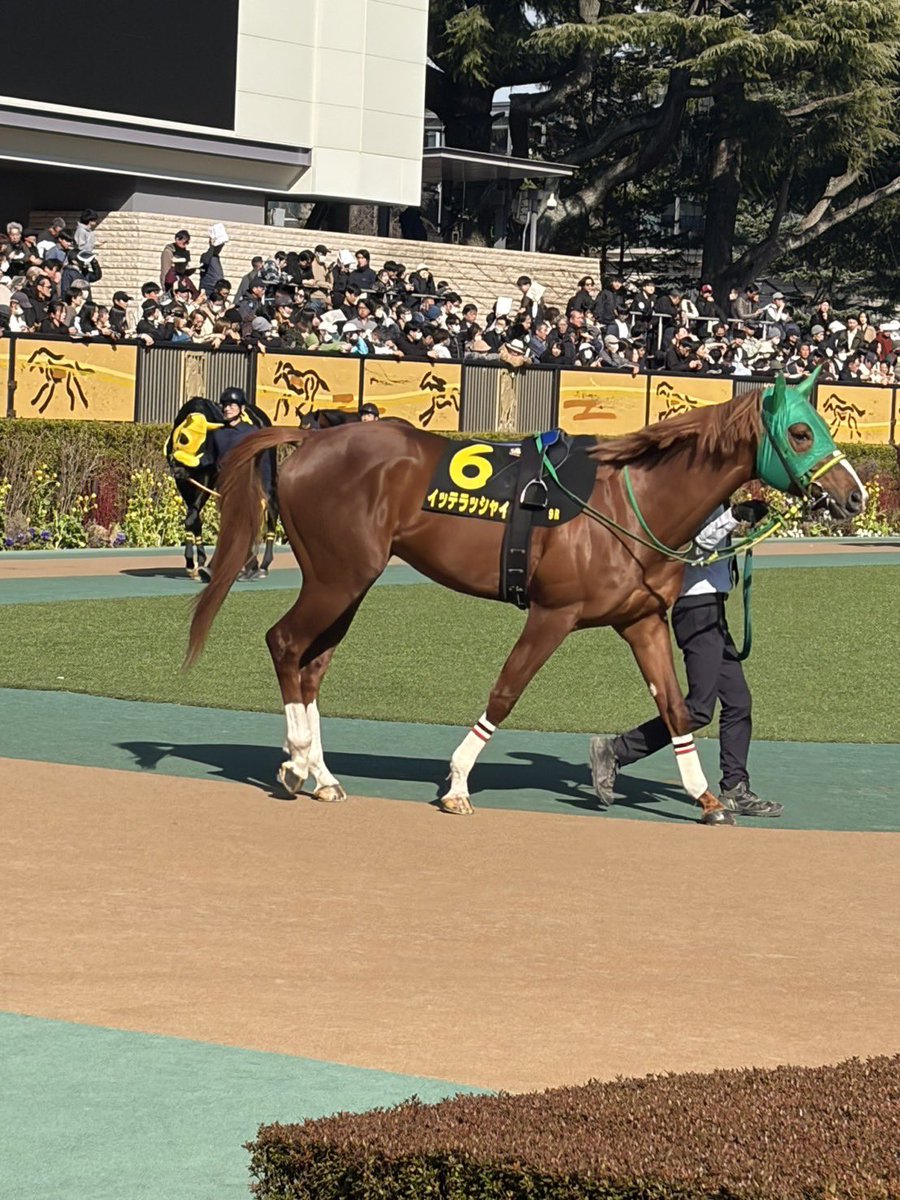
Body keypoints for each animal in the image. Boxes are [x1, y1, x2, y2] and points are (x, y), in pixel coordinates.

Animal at [186, 372, 865, 824]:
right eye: (799, 431)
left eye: (820, 426)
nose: (855, 495)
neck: (627, 501)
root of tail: (311, 439)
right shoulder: (552, 614)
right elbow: (506, 692)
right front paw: (458, 783)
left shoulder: (643, 620)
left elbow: (675, 708)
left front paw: (706, 798)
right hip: (338, 576)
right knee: (286, 643)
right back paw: (298, 761)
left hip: (349, 581)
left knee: (313, 664)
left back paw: (322, 775)